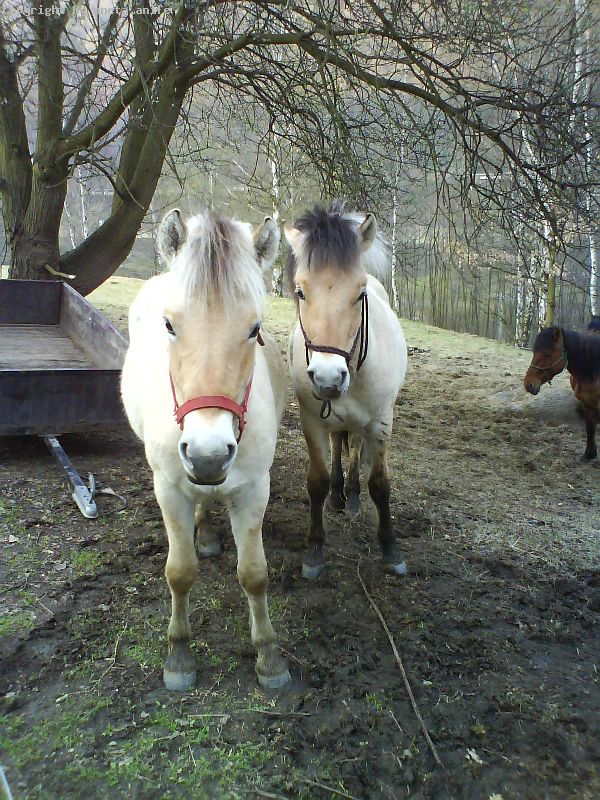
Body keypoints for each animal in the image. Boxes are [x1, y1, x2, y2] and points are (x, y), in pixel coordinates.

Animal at [121, 208, 291, 691]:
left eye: (255, 329)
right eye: (169, 325)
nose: (207, 453)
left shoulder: (253, 490)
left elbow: (254, 575)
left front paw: (268, 655)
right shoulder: (169, 489)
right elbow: (180, 572)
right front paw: (179, 654)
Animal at [285, 202, 408, 579]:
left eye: (360, 293)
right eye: (301, 292)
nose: (328, 378)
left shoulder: (382, 422)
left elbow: (380, 484)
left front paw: (390, 548)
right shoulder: (311, 420)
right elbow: (317, 481)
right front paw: (314, 549)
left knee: (353, 446)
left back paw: (351, 496)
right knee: (340, 443)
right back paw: (339, 495)